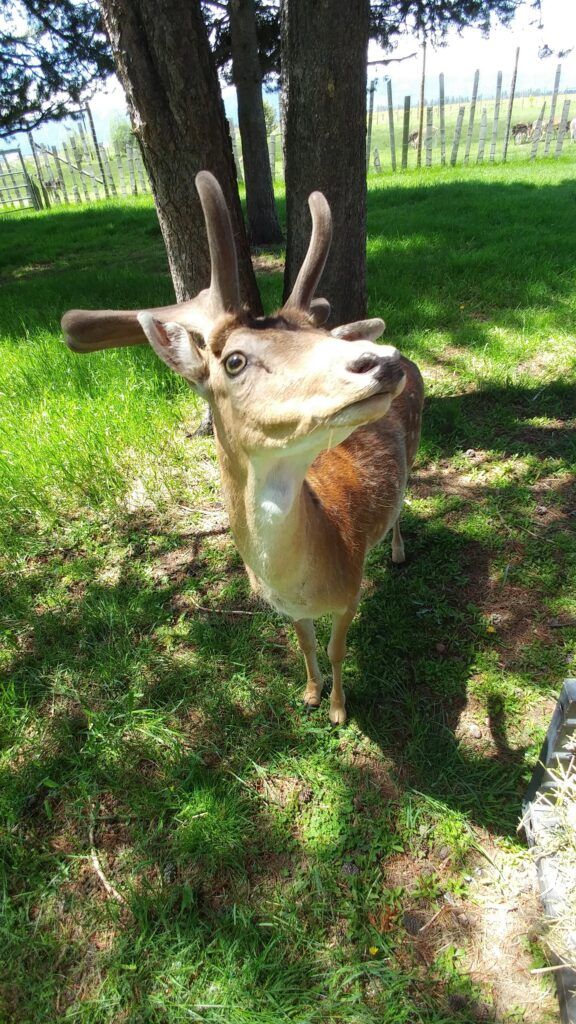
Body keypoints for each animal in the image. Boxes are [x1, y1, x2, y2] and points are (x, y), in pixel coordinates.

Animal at [62, 171, 424, 725]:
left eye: (322, 335)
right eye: (234, 360)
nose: (381, 360)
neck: (310, 571)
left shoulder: (351, 591)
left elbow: (337, 649)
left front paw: (339, 711)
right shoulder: (287, 608)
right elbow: (306, 646)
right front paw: (310, 695)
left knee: (407, 499)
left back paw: (399, 553)